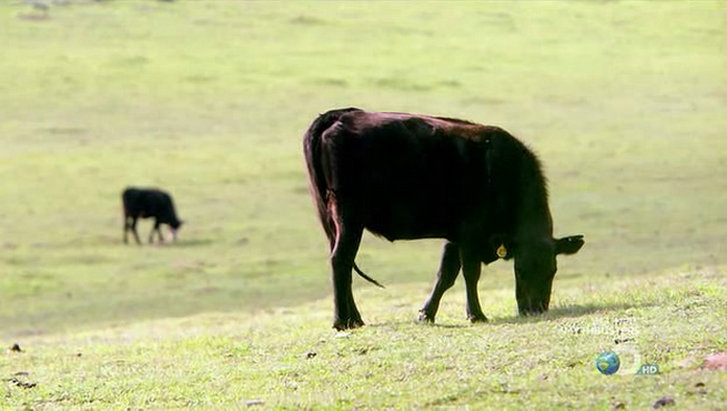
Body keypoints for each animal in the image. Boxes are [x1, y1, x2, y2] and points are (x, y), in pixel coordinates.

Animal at [302, 108, 584, 332]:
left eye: (553, 270)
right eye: (520, 270)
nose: (535, 310)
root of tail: (341, 116)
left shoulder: (455, 236)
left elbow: (446, 274)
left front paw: (426, 314)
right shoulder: (471, 233)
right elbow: (470, 273)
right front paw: (476, 314)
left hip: (333, 222)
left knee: (345, 263)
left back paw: (355, 319)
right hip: (349, 218)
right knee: (341, 261)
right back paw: (342, 321)